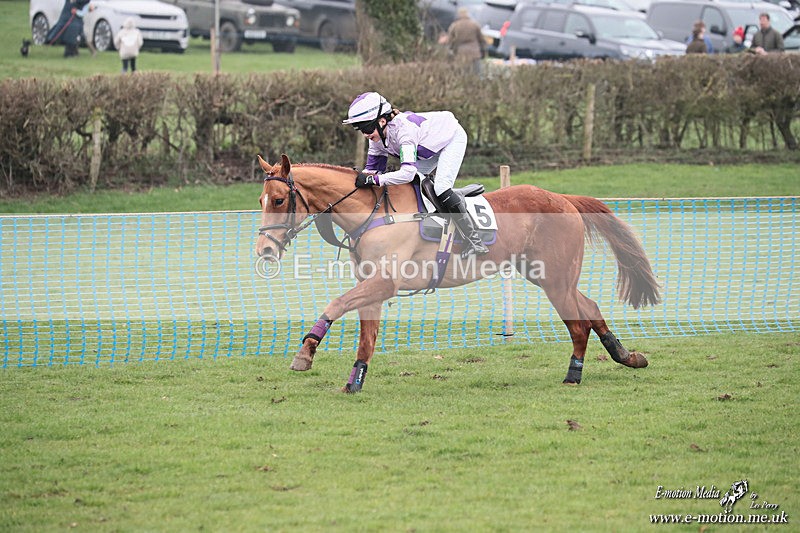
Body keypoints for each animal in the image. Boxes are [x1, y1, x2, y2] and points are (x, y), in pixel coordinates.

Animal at [255, 154, 660, 392]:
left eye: (279, 200)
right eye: (260, 200)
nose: (264, 251)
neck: (374, 213)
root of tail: (565, 199)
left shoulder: (384, 282)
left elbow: (336, 304)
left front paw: (305, 352)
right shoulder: (372, 285)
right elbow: (366, 335)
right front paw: (354, 381)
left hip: (555, 279)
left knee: (578, 323)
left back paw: (575, 374)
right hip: (547, 275)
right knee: (589, 307)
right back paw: (626, 356)